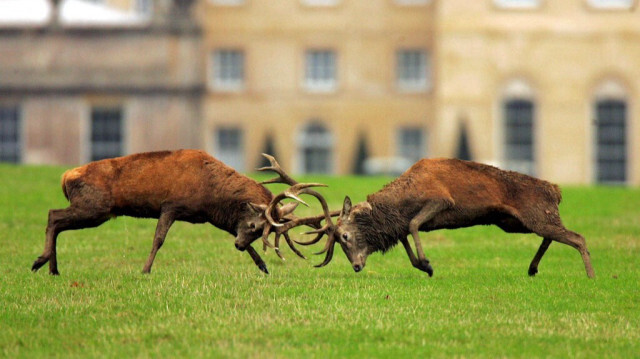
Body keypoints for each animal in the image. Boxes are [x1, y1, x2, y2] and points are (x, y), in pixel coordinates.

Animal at [30, 149, 322, 276]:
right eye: (254, 226)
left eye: (264, 232)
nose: (238, 246)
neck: (210, 193)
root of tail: (66, 177)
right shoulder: (172, 205)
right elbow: (158, 239)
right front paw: (145, 270)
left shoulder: (210, 216)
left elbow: (231, 231)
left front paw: (263, 266)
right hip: (95, 207)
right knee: (53, 215)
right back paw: (40, 261)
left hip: (93, 210)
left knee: (56, 219)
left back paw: (52, 268)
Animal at [284, 159, 596, 280]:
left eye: (345, 236)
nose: (357, 266)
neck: (401, 202)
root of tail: (557, 191)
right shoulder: (399, 224)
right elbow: (405, 237)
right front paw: (423, 265)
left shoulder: (441, 200)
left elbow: (412, 226)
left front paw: (427, 263)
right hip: (515, 223)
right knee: (551, 236)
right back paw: (532, 268)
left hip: (536, 215)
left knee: (577, 237)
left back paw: (591, 276)